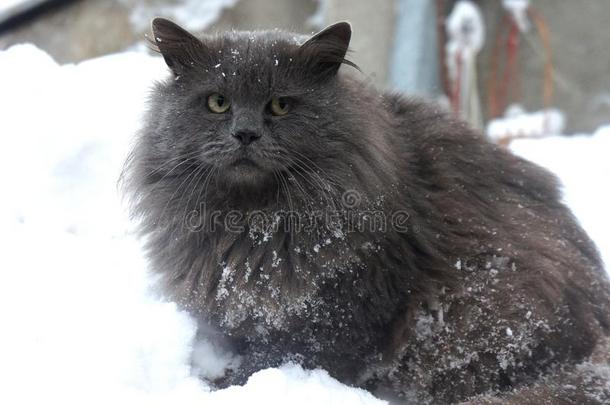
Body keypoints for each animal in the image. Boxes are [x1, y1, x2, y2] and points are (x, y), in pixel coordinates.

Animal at [123, 19, 608, 404]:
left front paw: (220, 385)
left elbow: (275, 358)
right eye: (217, 102)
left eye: (280, 104)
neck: (254, 222)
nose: (245, 133)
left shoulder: (341, 307)